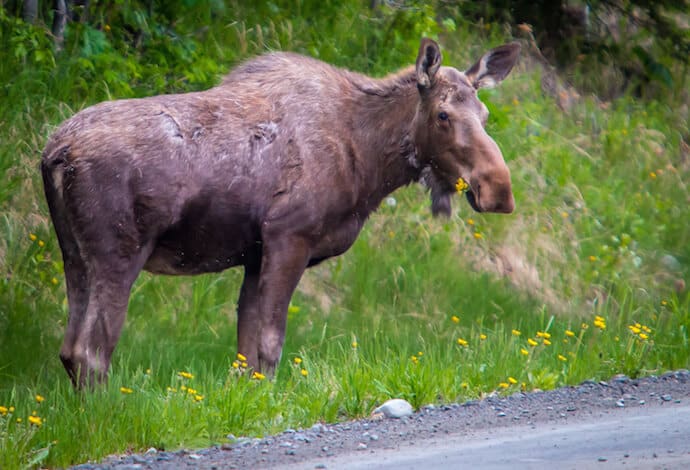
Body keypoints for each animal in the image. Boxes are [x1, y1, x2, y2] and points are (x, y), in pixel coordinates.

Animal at [43, 38, 516, 388]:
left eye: (485, 113)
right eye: (443, 114)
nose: (498, 189)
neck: (369, 162)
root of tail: (55, 152)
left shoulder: (255, 253)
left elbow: (246, 351)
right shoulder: (289, 237)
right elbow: (270, 346)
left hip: (73, 253)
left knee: (69, 347)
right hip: (119, 251)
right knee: (92, 350)